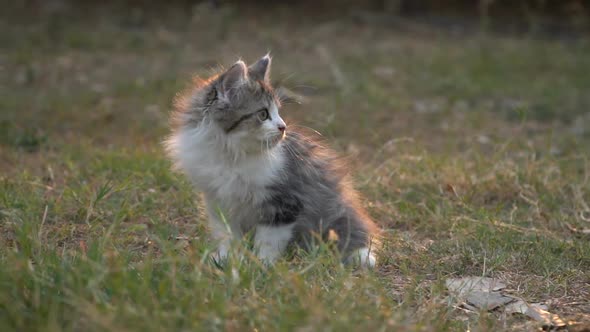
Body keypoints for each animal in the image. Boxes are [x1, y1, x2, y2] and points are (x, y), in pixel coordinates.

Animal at [164, 54, 382, 268]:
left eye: (278, 112)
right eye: (263, 114)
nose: (283, 127)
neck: (231, 155)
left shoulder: (283, 202)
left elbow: (269, 239)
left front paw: (263, 263)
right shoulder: (218, 200)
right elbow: (226, 235)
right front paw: (228, 258)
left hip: (335, 213)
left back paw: (362, 257)